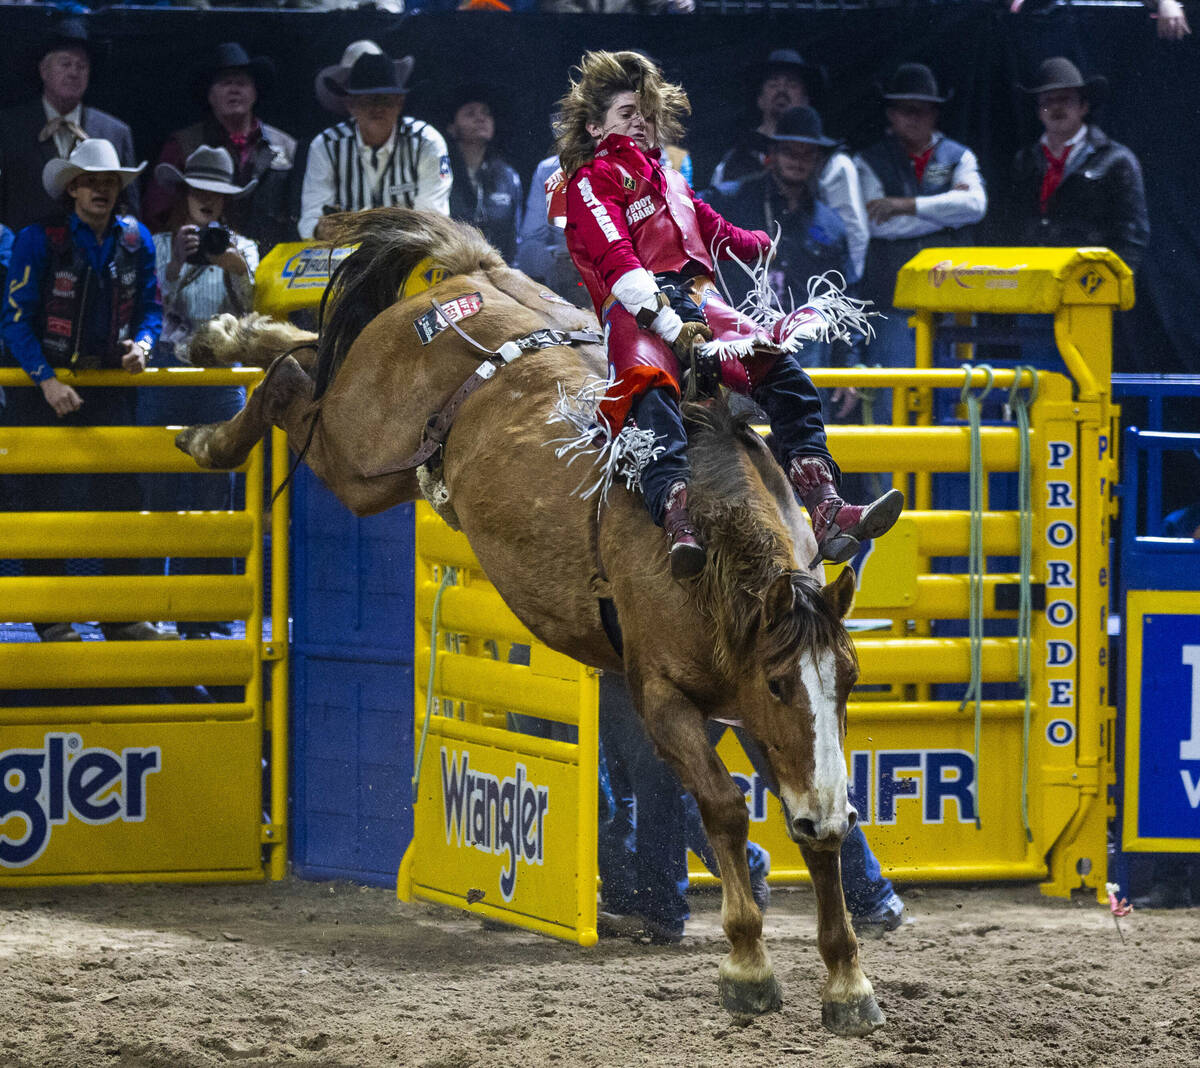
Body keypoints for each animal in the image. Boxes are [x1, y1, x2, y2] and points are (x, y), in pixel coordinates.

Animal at [180, 207, 892, 1032]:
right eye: (781, 683)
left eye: (850, 680)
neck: (704, 540)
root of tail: (472, 273)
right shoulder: (664, 698)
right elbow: (722, 804)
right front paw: (747, 964)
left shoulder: (764, 721)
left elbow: (815, 821)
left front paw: (847, 979)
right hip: (360, 451)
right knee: (295, 381)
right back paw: (210, 427)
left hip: (371, 448)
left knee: (307, 354)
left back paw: (220, 340)